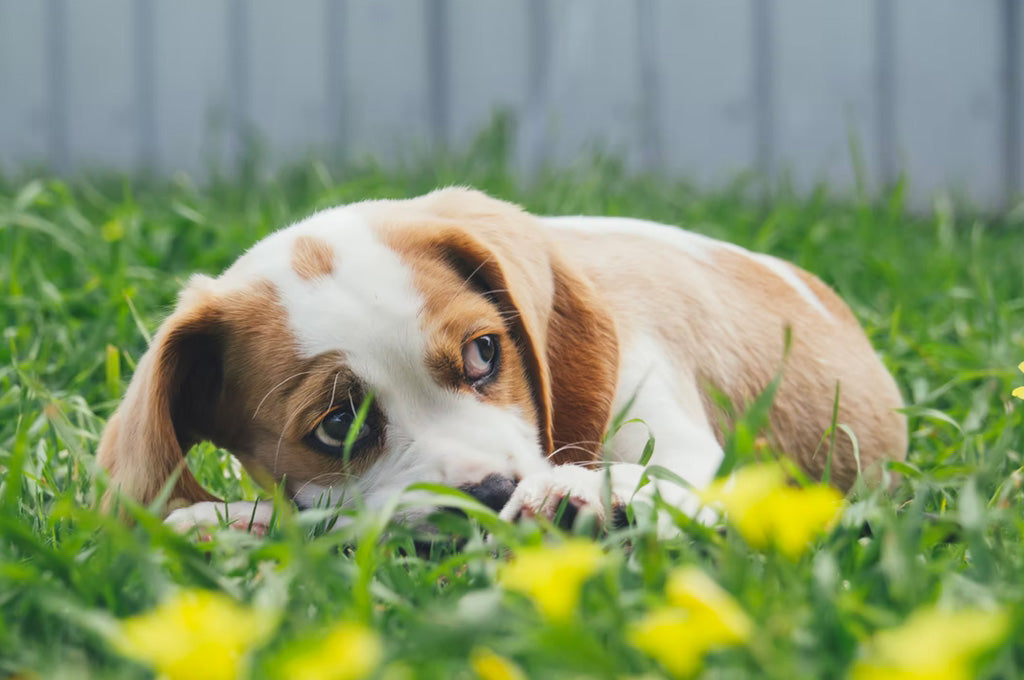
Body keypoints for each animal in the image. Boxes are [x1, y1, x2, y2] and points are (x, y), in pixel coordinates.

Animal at [96, 188, 905, 532]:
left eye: (485, 354)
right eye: (338, 428)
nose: (491, 492)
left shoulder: (676, 437)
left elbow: (671, 479)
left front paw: (590, 495)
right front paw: (236, 523)